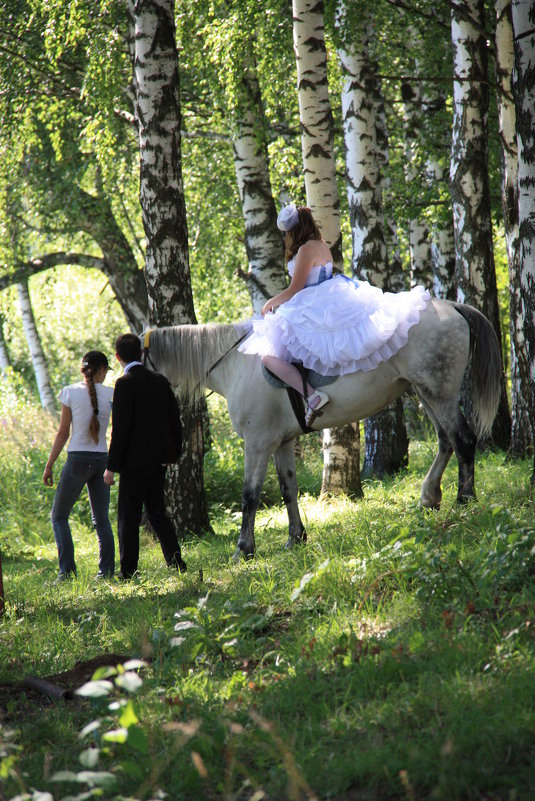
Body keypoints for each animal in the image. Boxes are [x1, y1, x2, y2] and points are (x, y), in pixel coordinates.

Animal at [143, 298, 502, 556]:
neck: (237, 362)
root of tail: (450, 306)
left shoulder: (258, 443)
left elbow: (250, 495)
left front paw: (244, 550)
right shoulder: (281, 443)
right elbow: (288, 489)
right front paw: (295, 538)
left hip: (438, 393)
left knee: (463, 440)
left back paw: (464, 499)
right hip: (425, 392)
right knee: (446, 441)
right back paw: (430, 497)